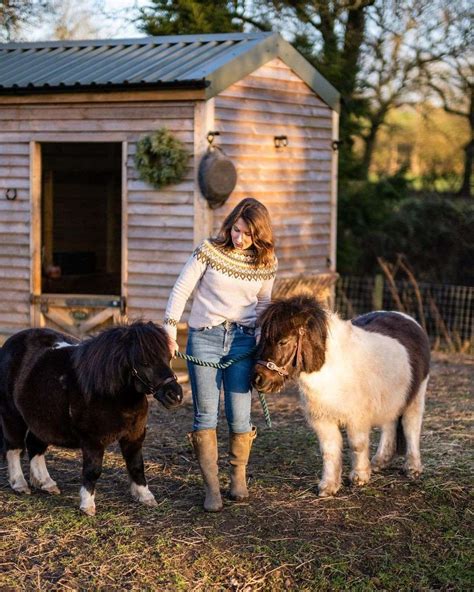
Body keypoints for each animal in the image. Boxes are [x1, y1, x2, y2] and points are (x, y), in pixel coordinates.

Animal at [0, 322, 183, 516]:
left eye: (169, 358)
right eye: (145, 362)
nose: (175, 395)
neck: (111, 393)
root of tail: (10, 344)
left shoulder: (134, 436)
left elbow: (136, 465)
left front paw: (145, 496)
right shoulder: (93, 441)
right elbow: (93, 471)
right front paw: (87, 505)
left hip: (41, 421)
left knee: (35, 447)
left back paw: (46, 483)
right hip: (12, 416)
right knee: (14, 448)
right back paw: (19, 484)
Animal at [254, 294, 432, 494]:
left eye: (283, 341)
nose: (258, 380)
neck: (334, 370)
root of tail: (408, 320)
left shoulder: (357, 418)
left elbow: (357, 445)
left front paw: (359, 478)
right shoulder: (323, 420)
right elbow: (329, 450)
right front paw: (328, 486)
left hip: (416, 396)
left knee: (411, 427)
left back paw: (413, 468)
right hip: (391, 399)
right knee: (390, 424)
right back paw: (379, 462)